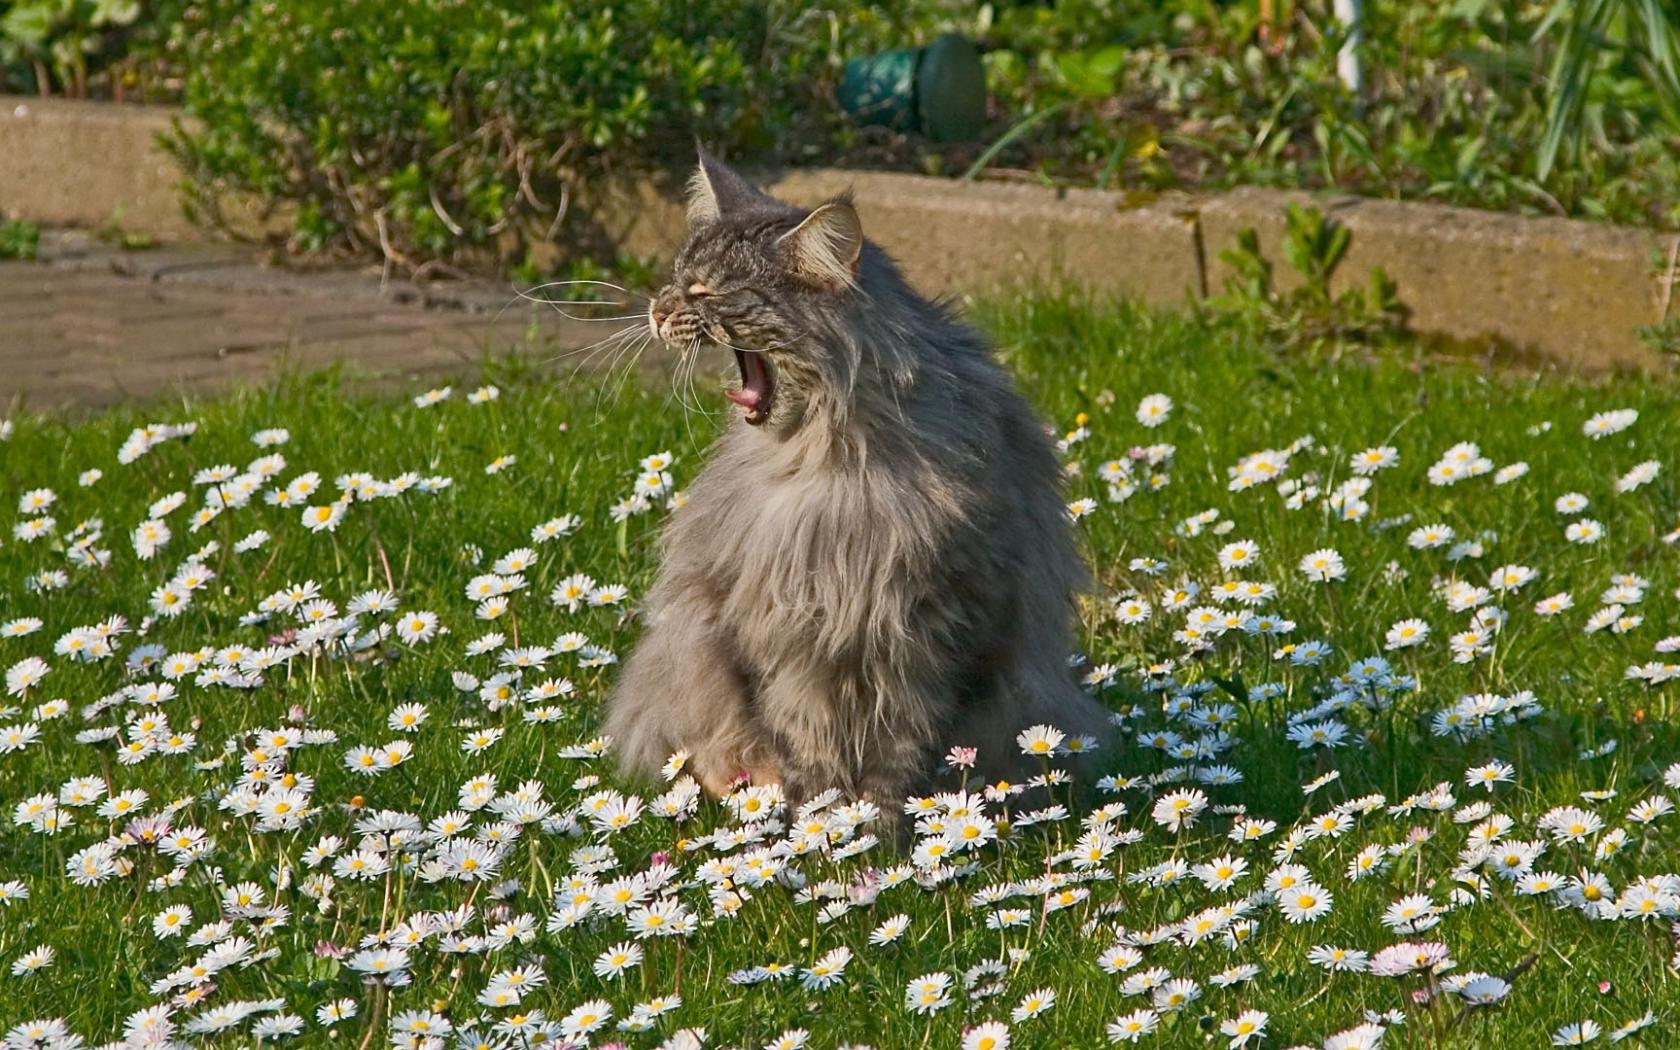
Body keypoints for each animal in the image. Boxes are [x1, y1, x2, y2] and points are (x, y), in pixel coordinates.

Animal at [598, 147, 1108, 806]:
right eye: (672, 279)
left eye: (704, 290)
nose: (656, 309)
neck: (841, 471)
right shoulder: (785, 625)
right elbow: (804, 739)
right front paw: (820, 819)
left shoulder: (934, 619)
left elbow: (904, 748)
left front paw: (882, 820)